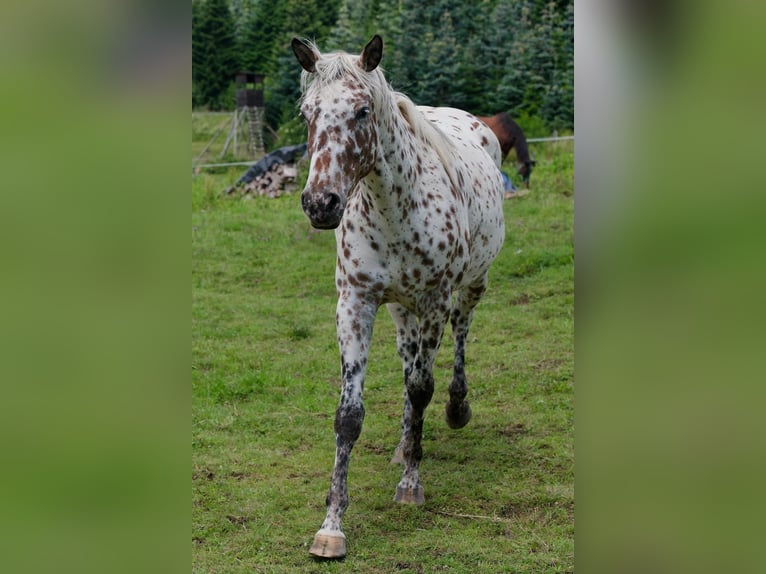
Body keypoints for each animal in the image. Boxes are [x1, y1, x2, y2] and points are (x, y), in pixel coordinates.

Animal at [292, 35, 508, 560]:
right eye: (307, 113)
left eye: (362, 111)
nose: (321, 204)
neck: (393, 209)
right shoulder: (356, 302)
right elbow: (349, 415)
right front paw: (331, 526)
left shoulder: (433, 301)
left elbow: (421, 387)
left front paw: (411, 485)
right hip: (399, 310)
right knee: (409, 360)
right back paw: (403, 444)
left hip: (469, 286)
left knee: (458, 338)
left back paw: (454, 410)